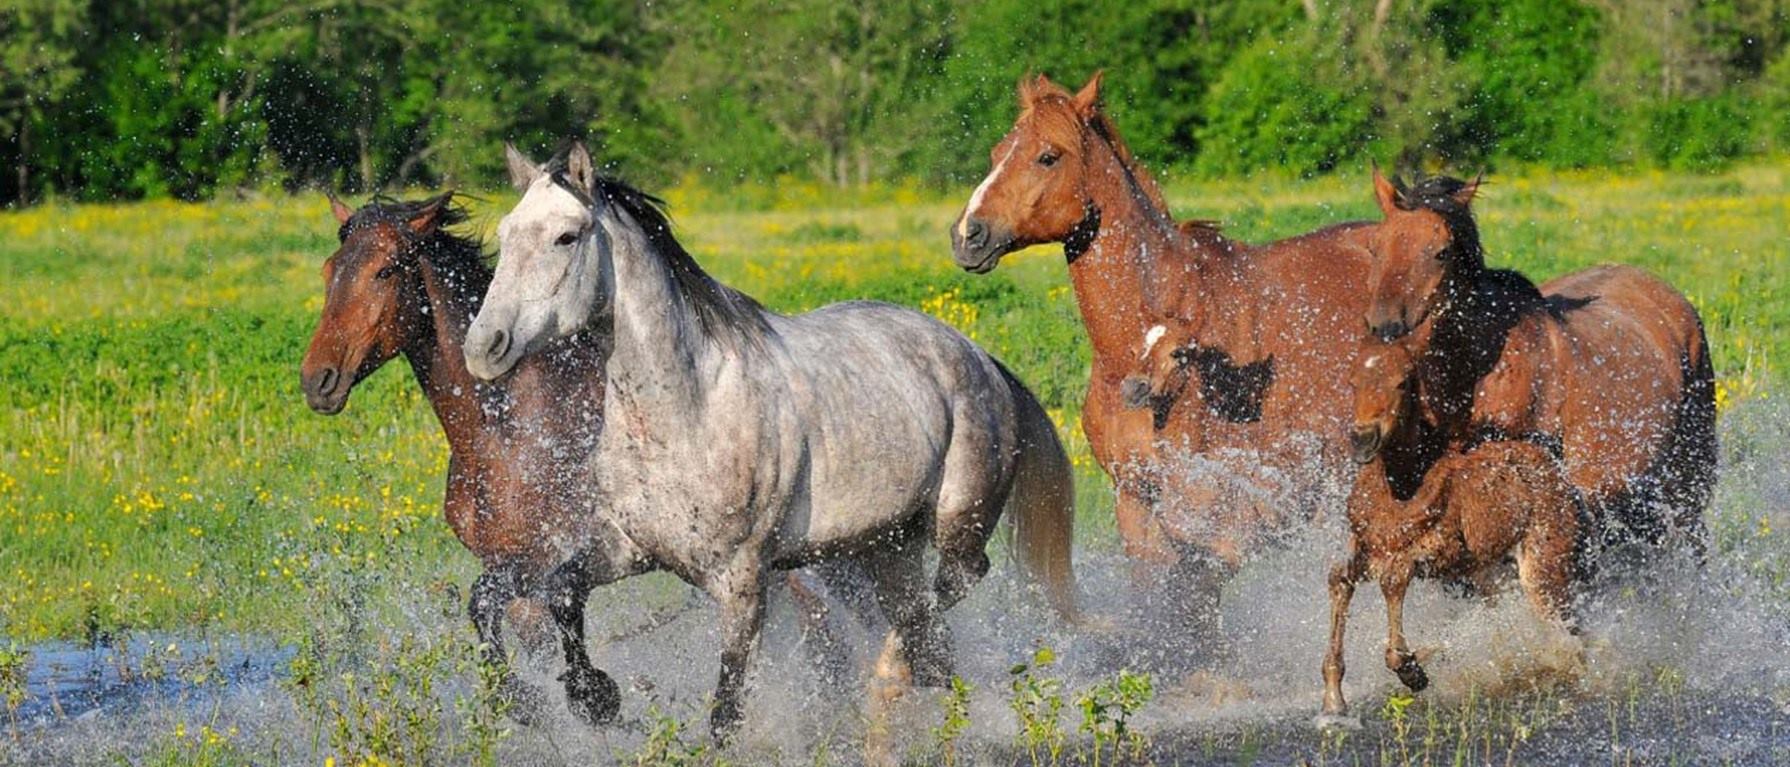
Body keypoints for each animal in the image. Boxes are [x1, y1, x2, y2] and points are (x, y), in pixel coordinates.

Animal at [297, 193, 869, 731]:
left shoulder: (552, 554)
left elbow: (534, 614)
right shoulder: (513, 566)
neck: (510, 430)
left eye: (384, 270)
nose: (318, 381)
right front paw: (533, 703)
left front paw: (591, 697)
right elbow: (504, 620)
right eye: (328, 269)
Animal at [461, 140, 1074, 738]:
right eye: (506, 233)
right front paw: (592, 697)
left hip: (957, 525)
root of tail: (980, 358)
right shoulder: (628, 547)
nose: (483, 347)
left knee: (946, 595)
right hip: (887, 547)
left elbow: (726, 714)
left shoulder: (742, 583)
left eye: (566, 236)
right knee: (928, 639)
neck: (684, 415)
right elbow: (561, 589)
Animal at [959, 73, 1374, 648]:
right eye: (999, 152)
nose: (968, 235)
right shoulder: (1135, 500)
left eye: (1048, 156)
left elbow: (1196, 594)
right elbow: (1161, 599)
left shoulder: (1213, 509)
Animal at [1317, 335, 1582, 723]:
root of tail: (1558, 474)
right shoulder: (1367, 546)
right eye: (1353, 382)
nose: (1363, 440)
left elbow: (1392, 582)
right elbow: (1339, 578)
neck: (1400, 484)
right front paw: (1334, 699)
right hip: (1494, 575)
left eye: (1402, 382)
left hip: (1545, 565)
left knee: (1567, 629)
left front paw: (1413, 670)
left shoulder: (1437, 551)